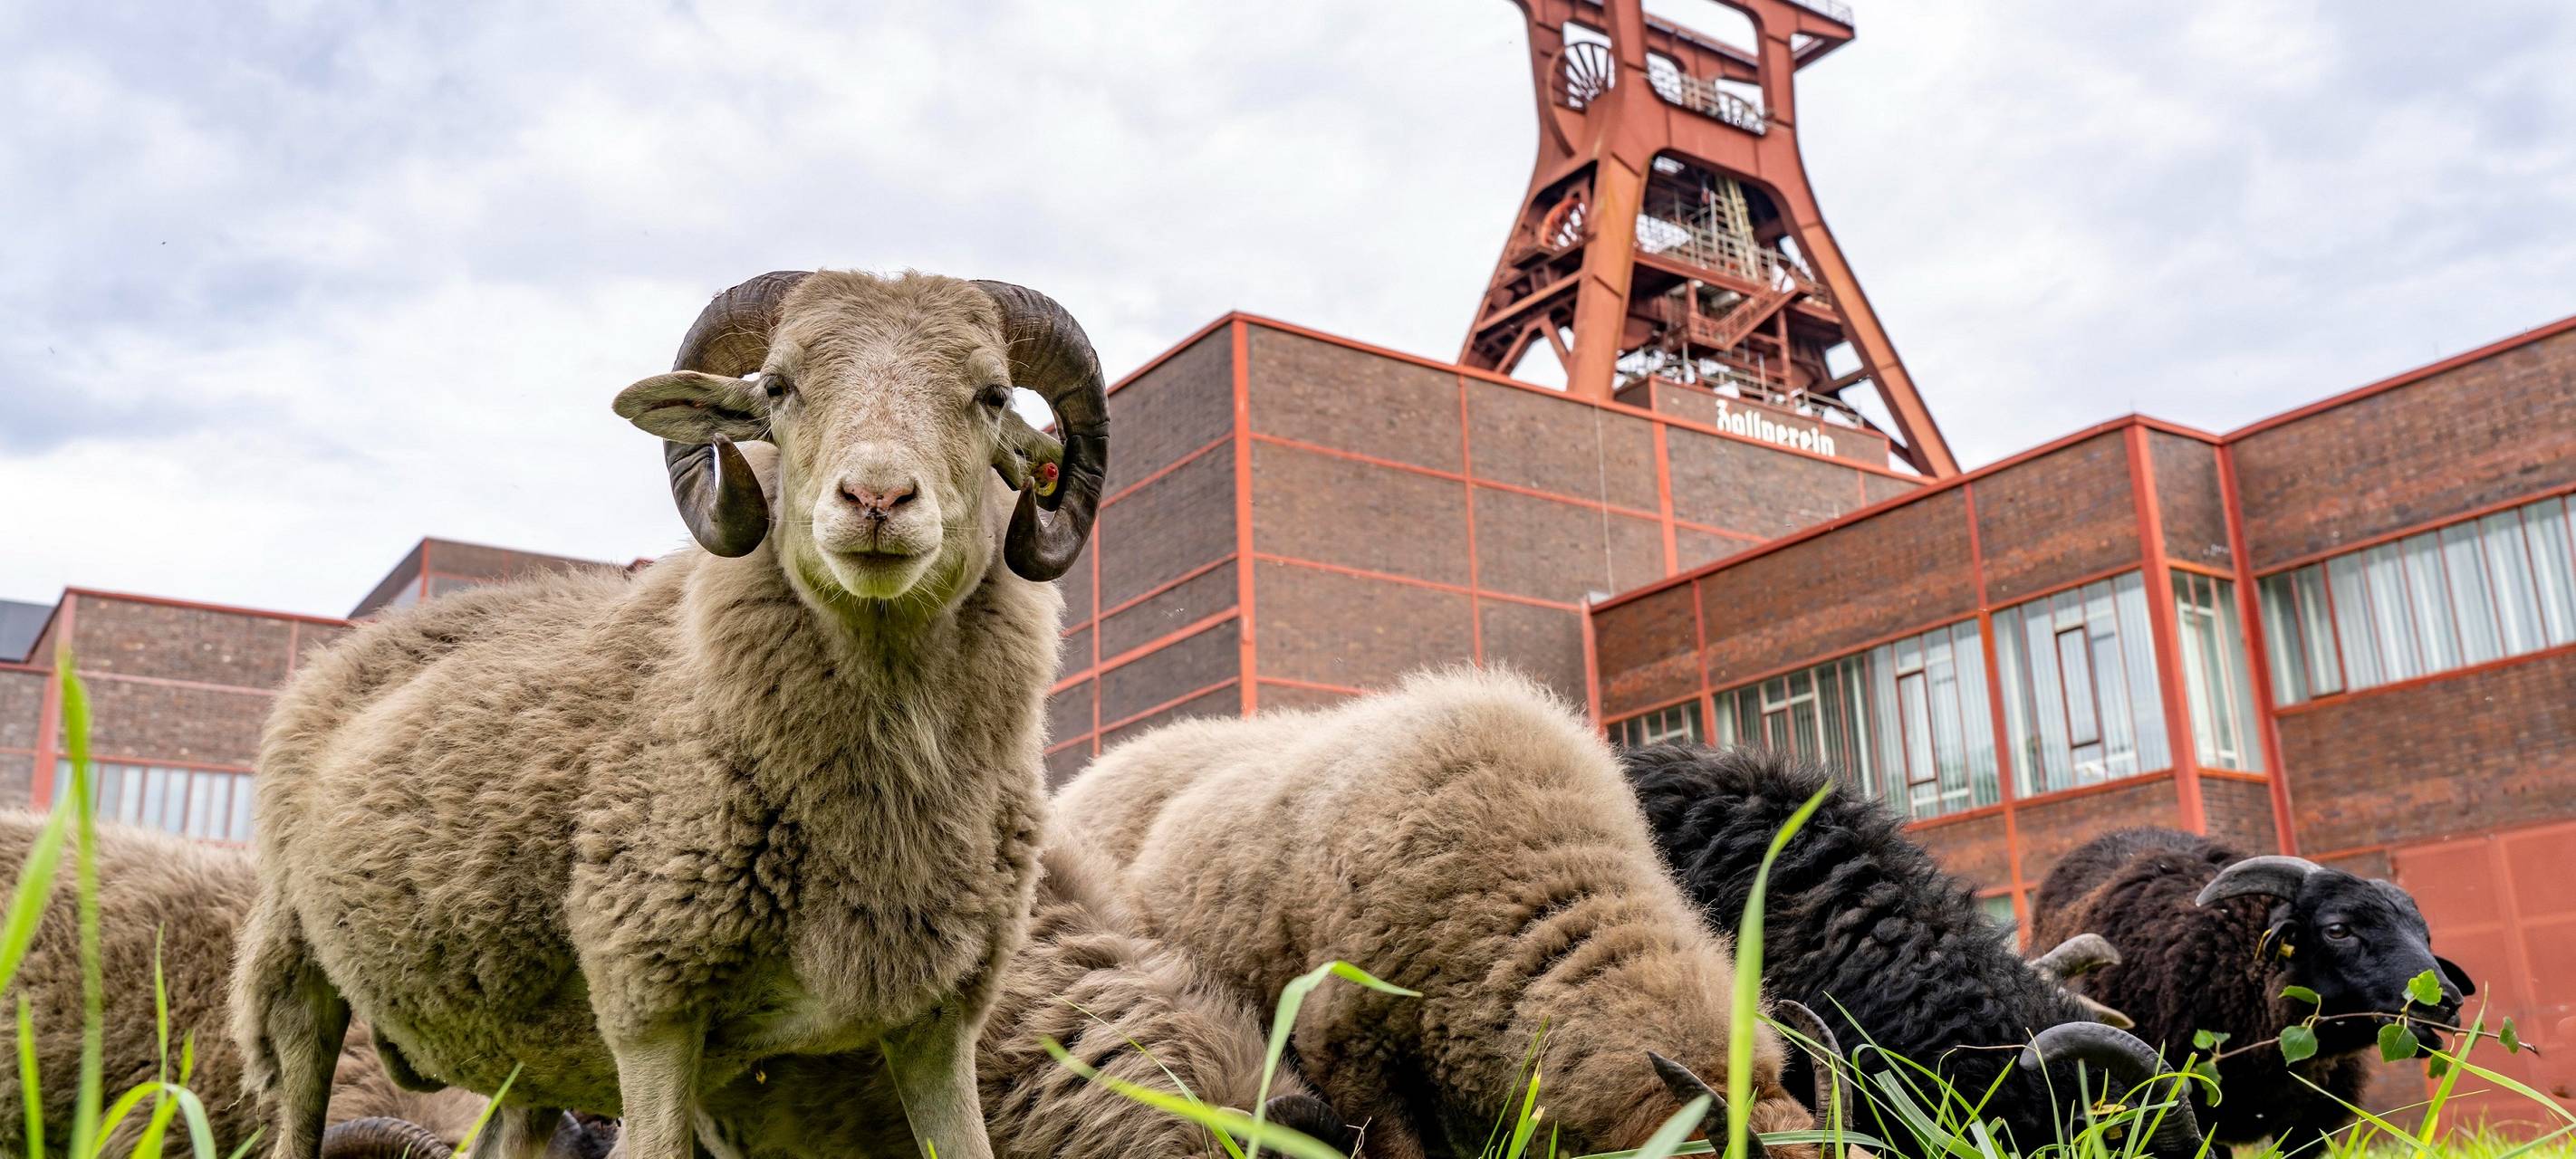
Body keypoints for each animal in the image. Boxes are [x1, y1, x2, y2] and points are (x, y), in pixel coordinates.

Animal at [231, 269, 1110, 1159]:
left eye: (992, 395)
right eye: (779, 388)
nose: (875, 498)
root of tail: (355, 644)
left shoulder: (939, 1019)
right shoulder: (649, 1004)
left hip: (521, 1060)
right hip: (292, 969)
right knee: (297, 1093)